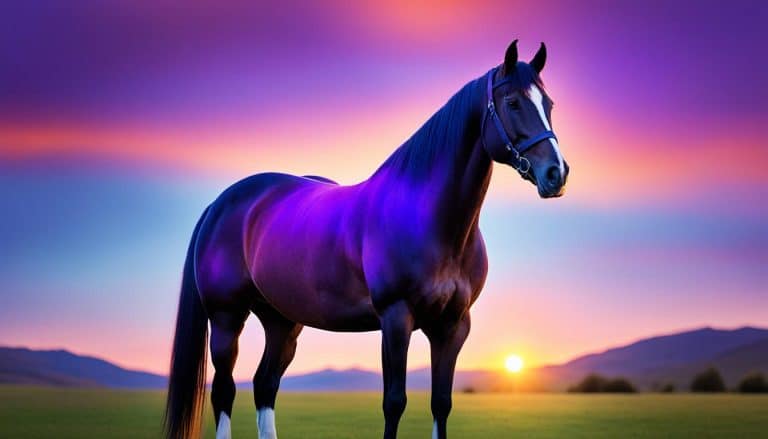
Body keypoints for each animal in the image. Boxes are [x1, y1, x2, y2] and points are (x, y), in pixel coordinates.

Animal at [164, 39, 569, 439]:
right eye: (513, 102)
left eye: (549, 104)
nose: (557, 173)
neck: (432, 221)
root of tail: (221, 203)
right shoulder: (395, 318)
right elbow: (394, 403)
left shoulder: (452, 326)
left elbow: (441, 404)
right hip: (226, 317)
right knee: (224, 391)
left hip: (282, 321)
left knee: (265, 386)